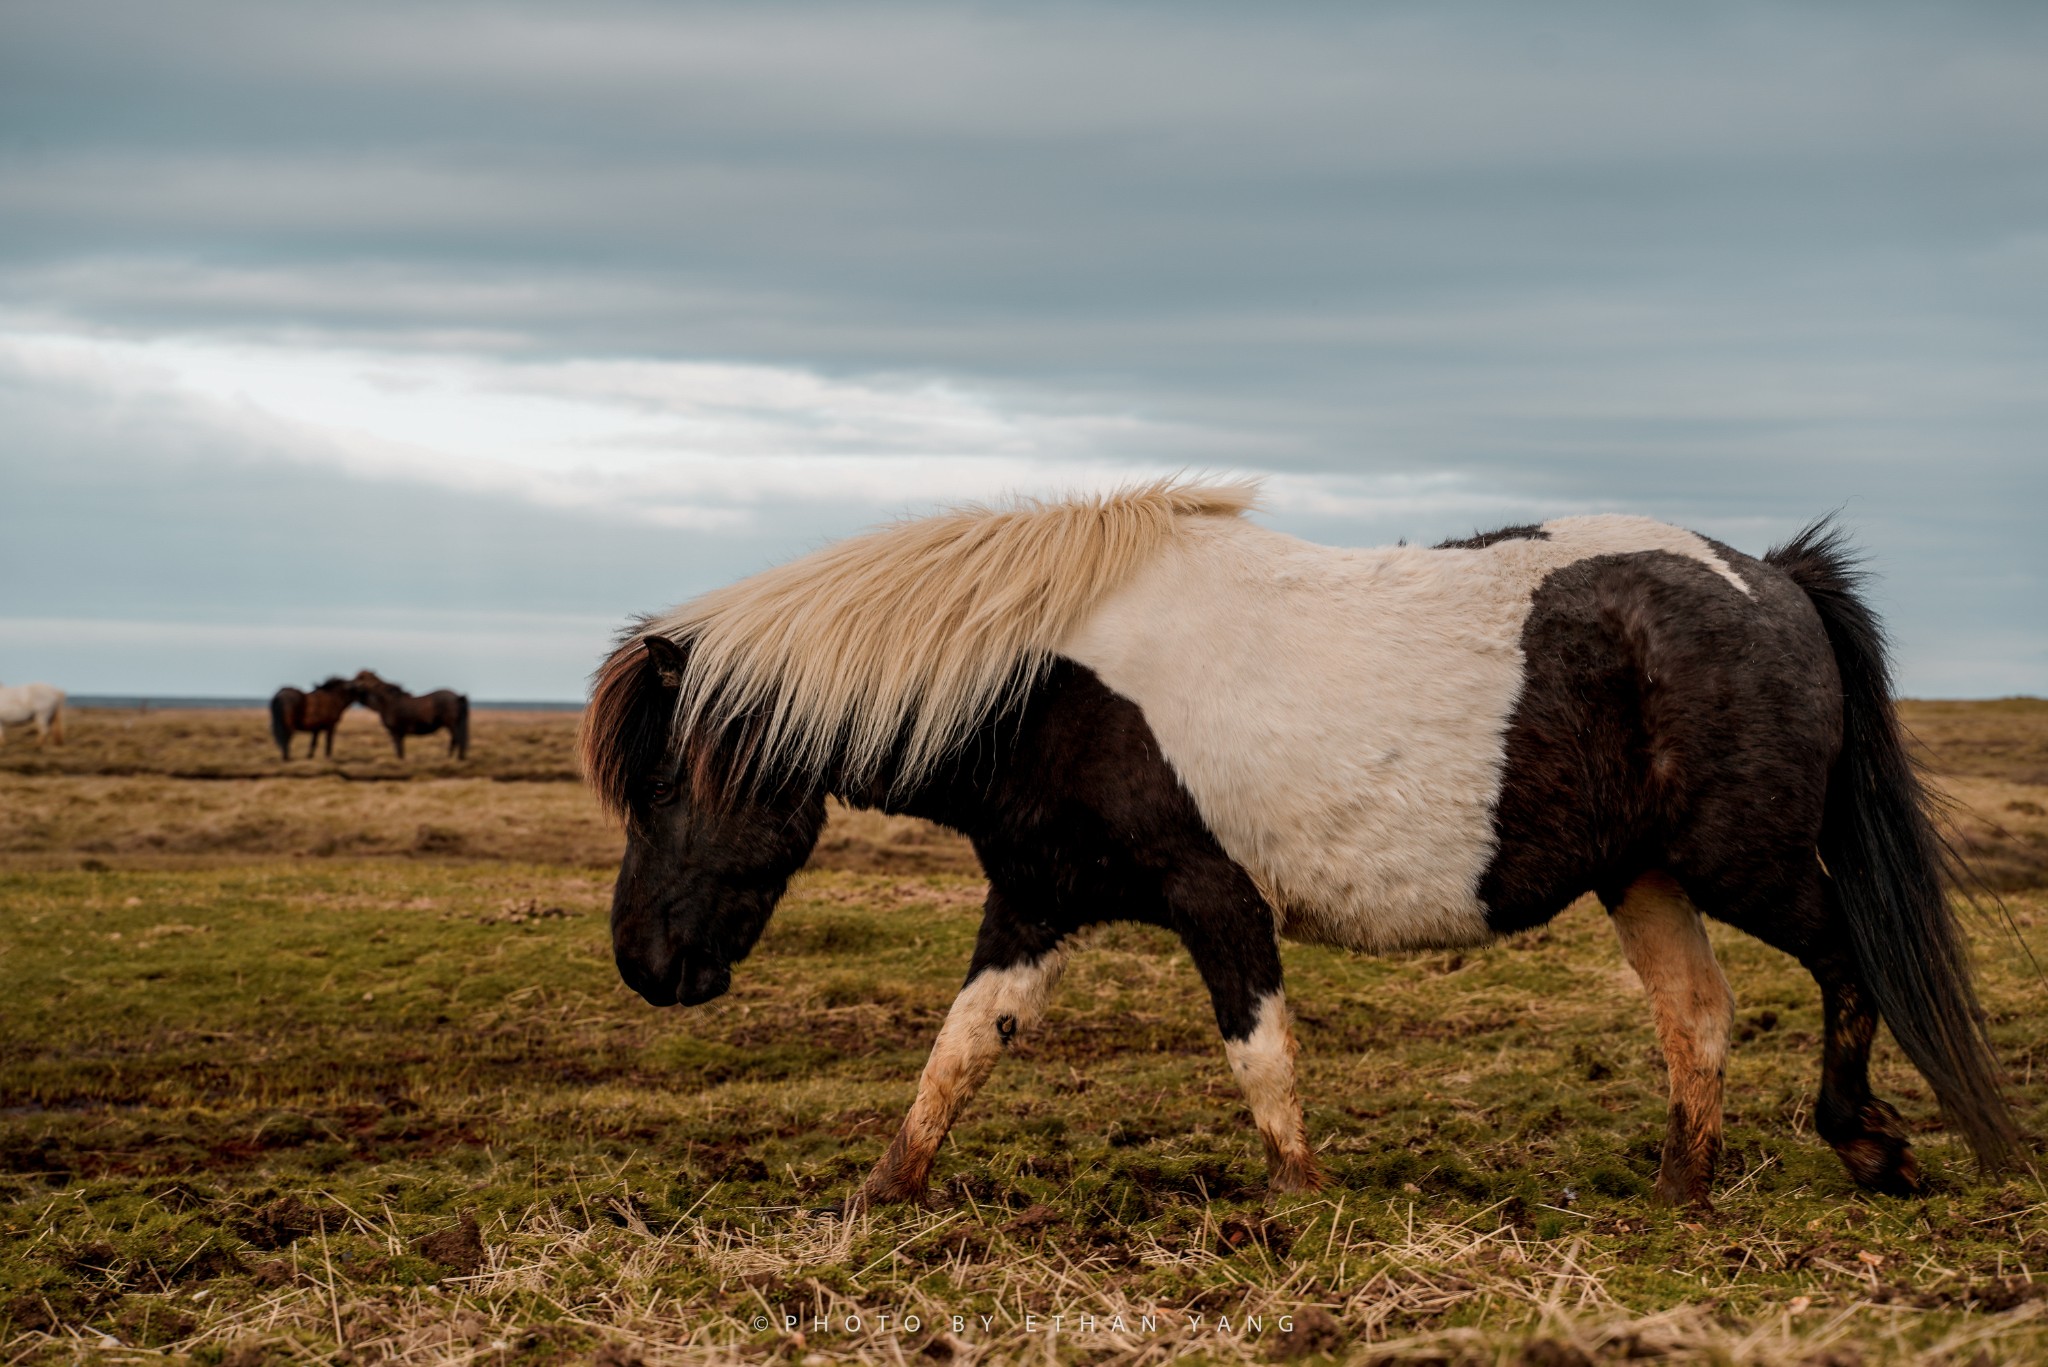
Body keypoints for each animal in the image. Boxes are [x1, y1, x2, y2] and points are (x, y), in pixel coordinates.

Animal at [577, 481, 2015, 1205]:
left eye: (667, 785)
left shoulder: (1218, 900)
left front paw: (1304, 1200)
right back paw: (1679, 1187)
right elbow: (962, 1048)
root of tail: (1770, 576)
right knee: (1699, 1015)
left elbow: (1258, 1053)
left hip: (1743, 859)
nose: (645, 964)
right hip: (1647, 872)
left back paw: (1866, 1146)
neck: (1051, 681)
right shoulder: (1035, 900)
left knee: (1848, 962)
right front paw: (884, 1191)